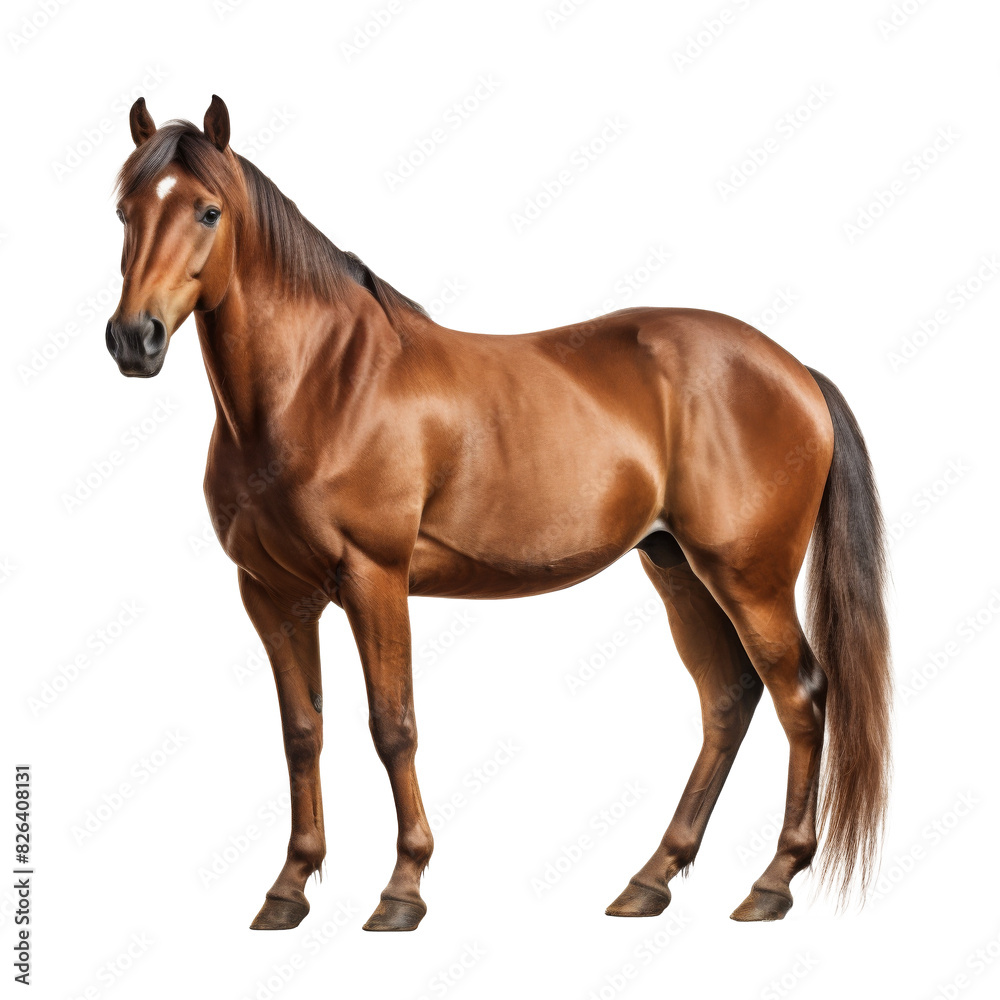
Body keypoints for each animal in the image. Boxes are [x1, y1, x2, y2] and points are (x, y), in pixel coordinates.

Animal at [106, 95, 891, 932]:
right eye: (124, 210)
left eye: (208, 210)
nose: (133, 339)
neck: (320, 383)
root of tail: (795, 371)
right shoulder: (273, 594)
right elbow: (301, 733)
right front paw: (288, 889)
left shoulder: (374, 578)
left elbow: (394, 726)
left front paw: (402, 889)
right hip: (677, 567)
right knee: (729, 698)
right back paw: (651, 880)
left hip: (749, 576)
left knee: (799, 694)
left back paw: (772, 882)